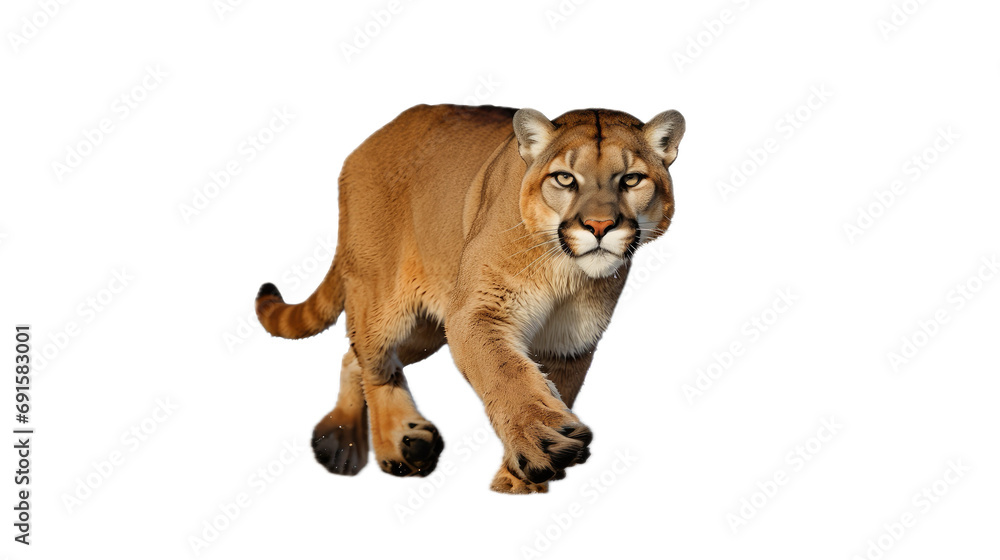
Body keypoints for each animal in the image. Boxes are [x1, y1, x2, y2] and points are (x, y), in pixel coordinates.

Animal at [254, 104, 683, 493]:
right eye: (565, 178)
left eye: (631, 179)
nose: (599, 226)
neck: (567, 273)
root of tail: (368, 142)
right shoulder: (475, 313)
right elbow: (507, 374)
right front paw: (541, 441)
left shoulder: (568, 342)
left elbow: (549, 388)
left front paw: (518, 482)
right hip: (383, 299)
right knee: (375, 364)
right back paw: (393, 446)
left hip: (426, 328)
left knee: (354, 357)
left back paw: (346, 442)